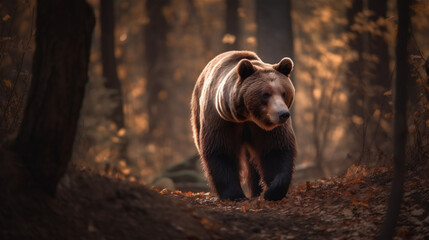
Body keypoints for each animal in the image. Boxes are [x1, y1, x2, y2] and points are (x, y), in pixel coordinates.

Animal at [190, 50, 294, 201]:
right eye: (265, 94)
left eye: (284, 93)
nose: (283, 114)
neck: (248, 117)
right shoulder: (222, 121)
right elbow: (221, 151)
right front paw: (234, 195)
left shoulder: (268, 128)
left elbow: (276, 150)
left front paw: (272, 190)